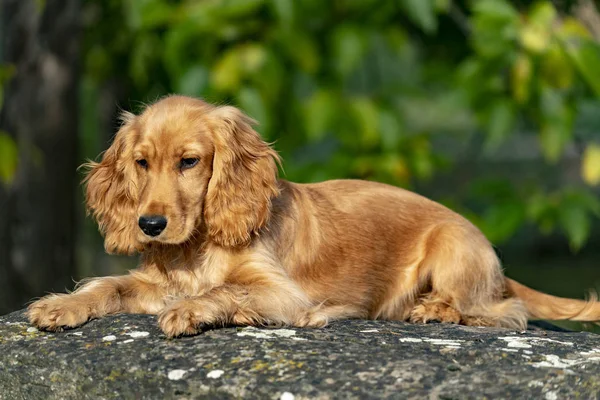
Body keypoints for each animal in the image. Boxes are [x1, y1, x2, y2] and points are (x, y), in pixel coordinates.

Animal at [28, 95, 600, 336]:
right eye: (141, 164)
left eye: (189, 162)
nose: (149, 226)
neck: (197, 248)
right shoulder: (154, 282)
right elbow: (108, 285)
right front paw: (61, 305)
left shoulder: (284, 291)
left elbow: (227, 289)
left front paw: (196, 310)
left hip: (454, 250)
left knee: (504, 311)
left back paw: (435, 310)